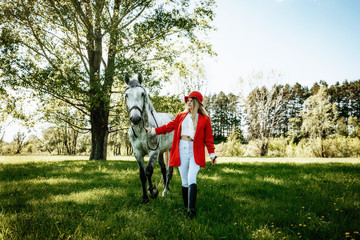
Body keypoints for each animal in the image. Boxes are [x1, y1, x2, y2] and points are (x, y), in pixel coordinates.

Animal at [124, 73, 174, 204]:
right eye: (126, 95)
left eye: (142, 94)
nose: (135, 118)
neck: (142, 130)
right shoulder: (138, 153)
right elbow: (142, 174)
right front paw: (145, 198)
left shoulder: (153, 152)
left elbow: (149, 170)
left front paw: (153, 191)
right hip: (161, 153)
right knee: (163, 169)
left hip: (170, 150)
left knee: (169, 171)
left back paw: (165, 191)